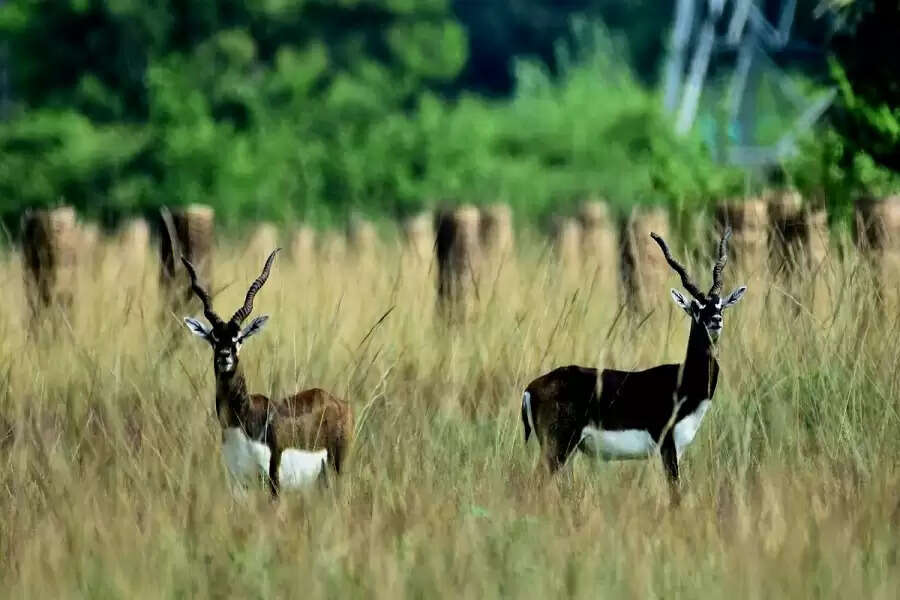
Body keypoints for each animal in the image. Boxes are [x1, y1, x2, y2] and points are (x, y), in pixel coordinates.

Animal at [181, 248, 354, 496]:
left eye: (239, 338)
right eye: (214, 338)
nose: (225, 356)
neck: (242, 419)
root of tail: (337, 401)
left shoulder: (274, 479)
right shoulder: (238, 483)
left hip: (336, 469)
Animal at [520, 227, 744, 494]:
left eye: (720, 305)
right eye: (697, 308)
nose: (716, 320)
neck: (684, 381)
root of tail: (530, 388)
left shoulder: (678, 449)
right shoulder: (667, 446)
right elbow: (675, 494)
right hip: (558, 448)